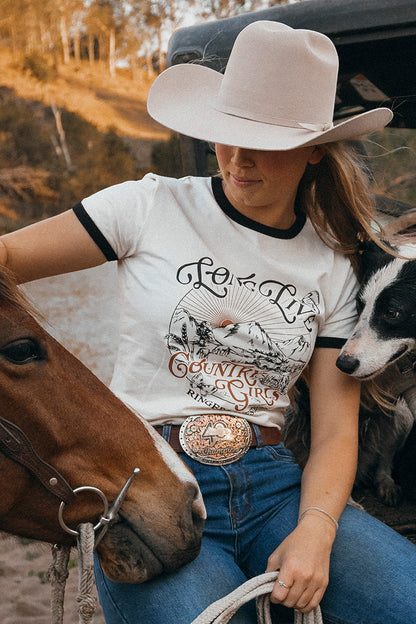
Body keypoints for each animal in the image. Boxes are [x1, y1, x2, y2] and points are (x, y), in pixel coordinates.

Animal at [284, 239, 416, 508]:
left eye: (392, 313)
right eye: (359, 304)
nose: (343, 364)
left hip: (400, 417)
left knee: (385, 453)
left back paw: (385, 482)